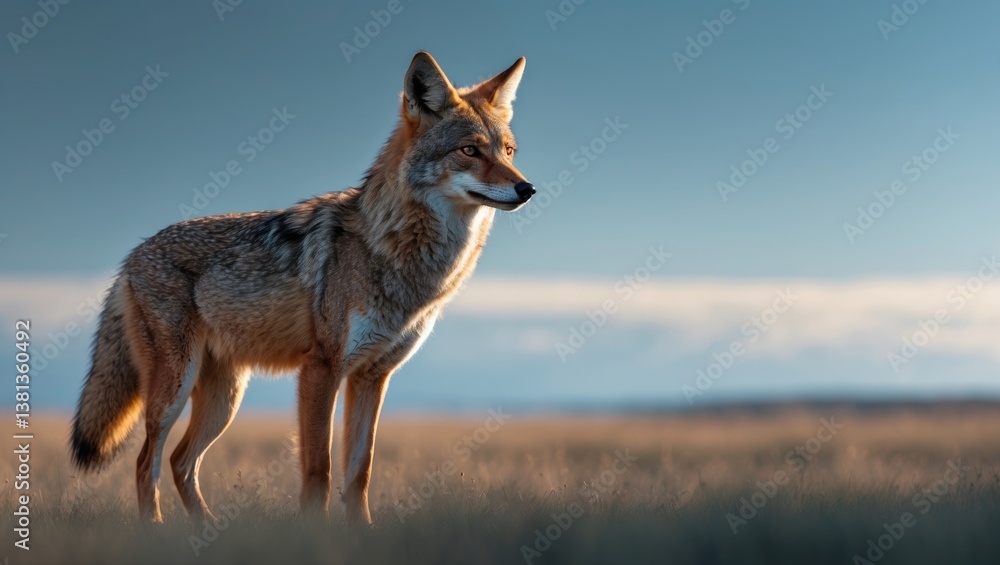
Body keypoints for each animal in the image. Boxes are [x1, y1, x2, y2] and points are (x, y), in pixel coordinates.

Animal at [70, 52, 535, 524]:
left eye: (508, 152)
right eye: (469, 150)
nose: (527, 188)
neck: (394, 251)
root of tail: (133, 254)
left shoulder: (372, 376)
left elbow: (360, 472)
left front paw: (361, 531)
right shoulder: (320, 368)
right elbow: (319, 470)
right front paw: (313, 531)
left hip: (225, 398)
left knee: (180, 461)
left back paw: (207, 529)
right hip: (175, 391)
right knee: (145, 462)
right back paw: (157, 530)